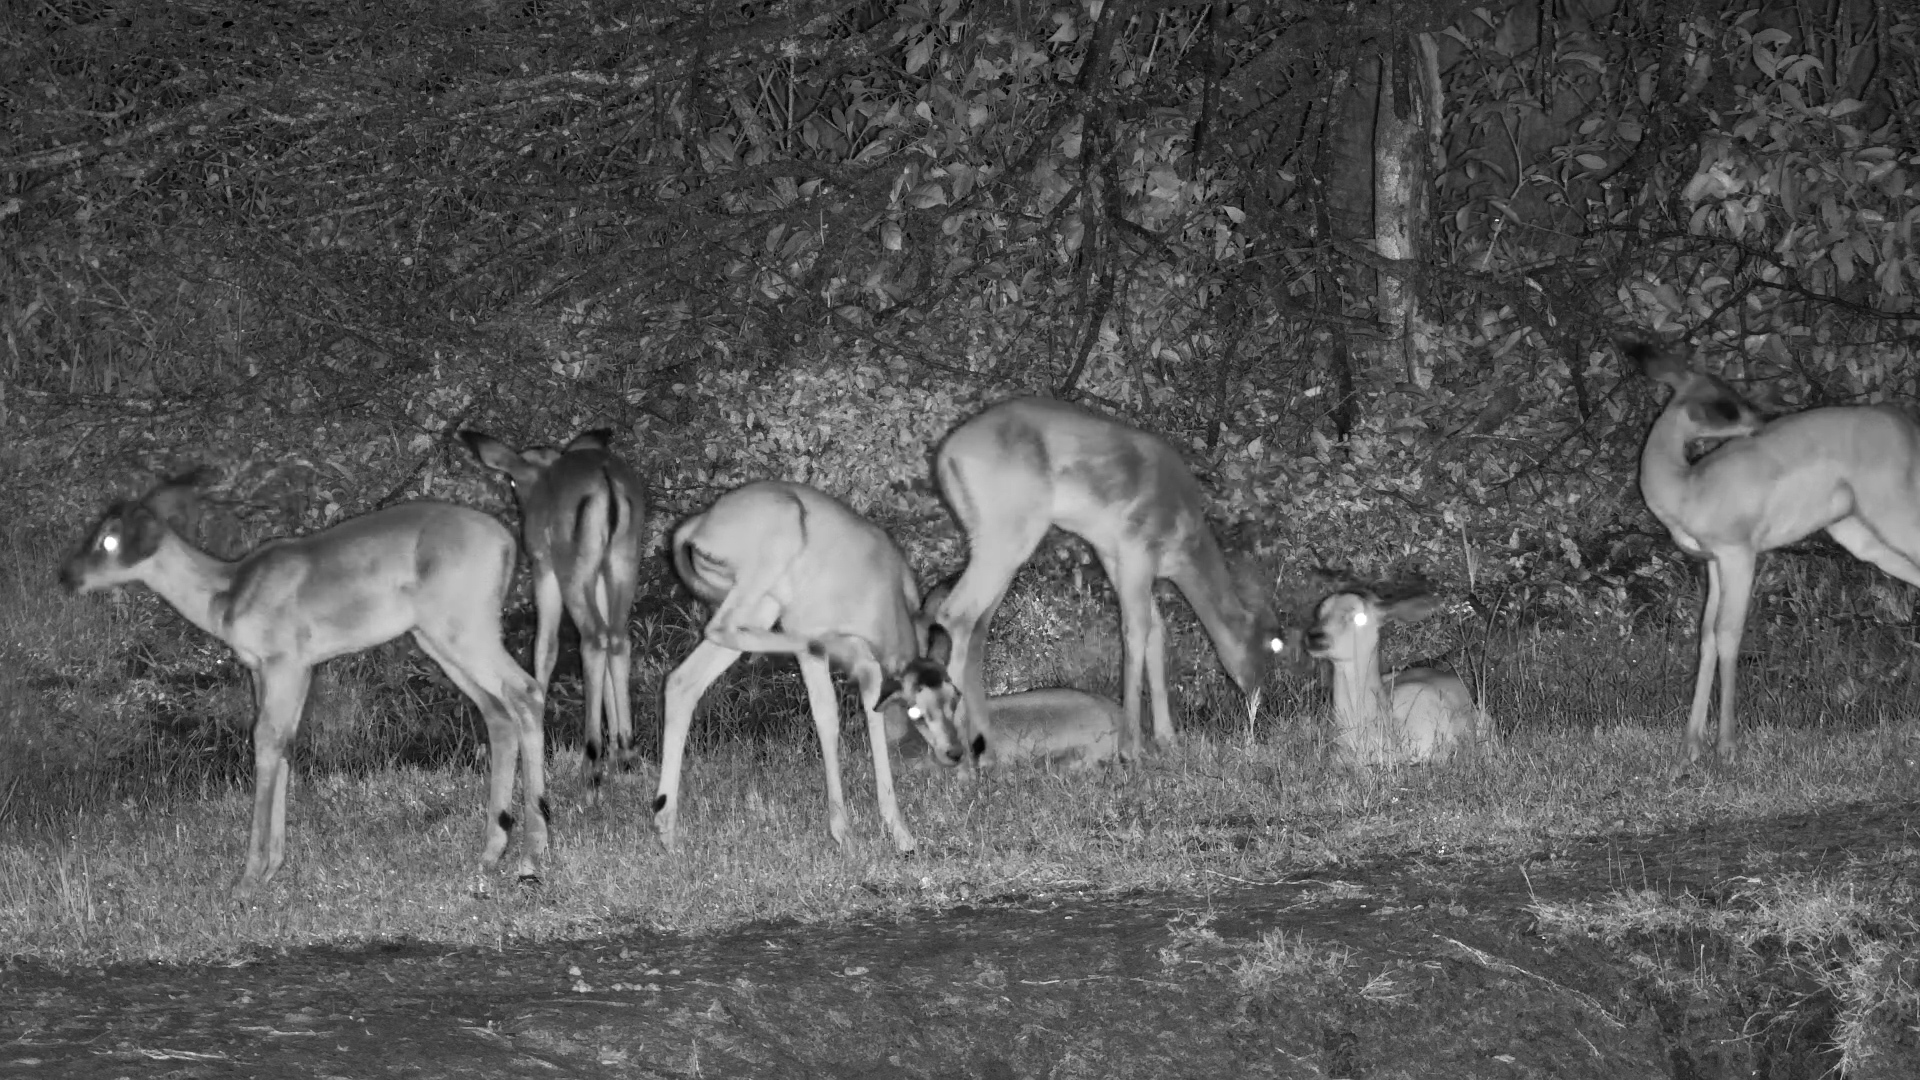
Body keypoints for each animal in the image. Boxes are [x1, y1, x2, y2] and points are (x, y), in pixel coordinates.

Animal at [61, 474, 548, 898]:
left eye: (109, 539)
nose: (67, 577)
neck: (228, 591)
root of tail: (507, 542)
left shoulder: (284, 661)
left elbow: (264, 740)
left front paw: (247, 879)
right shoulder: (270, 669)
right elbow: (284, 743)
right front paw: (272, 869)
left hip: (463, 628)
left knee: (526, 692)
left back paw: (532, 854)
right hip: (437, 637)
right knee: (497, 712)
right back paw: (491, 852)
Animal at [459, 429, 645, 798]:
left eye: (511, 480)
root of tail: (607, 481)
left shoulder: (544, 570)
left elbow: (544, 648)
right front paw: (617, 758)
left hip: (573, 570)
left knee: (593, 640)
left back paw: (591, 768)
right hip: (620, 564)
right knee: (617, 639)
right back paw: (627, 757)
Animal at [656, 480, 963, 854]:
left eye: (955, 697)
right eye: (916, 711)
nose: (954, 752)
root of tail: (700, 524)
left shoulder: (863, 667)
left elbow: (856, 715)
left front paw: (889, 833)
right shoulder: (841, 661)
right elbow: (836, 719)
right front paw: (855, 832)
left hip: (759, 608)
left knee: (682, 681)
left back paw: (667, 832)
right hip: (770, 572)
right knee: (720, 629)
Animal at [929, 397, 1289, 762]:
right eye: (1270, 646)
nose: (1258, 702)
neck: (1185, 535)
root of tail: (947, 453)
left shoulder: (1114, 557)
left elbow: (1156, 633)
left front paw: (1167, 740)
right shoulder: (1137, 550)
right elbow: (1135, 632)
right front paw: (1131, 748)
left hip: (993, 542)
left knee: (976, 631)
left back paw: (984, 750)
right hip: (1008, 536)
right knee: (955, 616)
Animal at [1627, 339, 1920, 768]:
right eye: (1725, 403)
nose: (1762, 418)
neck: (1687, 489)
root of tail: (1906, 424)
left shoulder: (1739, 552)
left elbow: (1728, 633)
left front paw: (1727, 746)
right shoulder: (1714, 563)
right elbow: (1707, 636)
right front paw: (1690, 747)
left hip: (1897, 514)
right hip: (1864, 536)